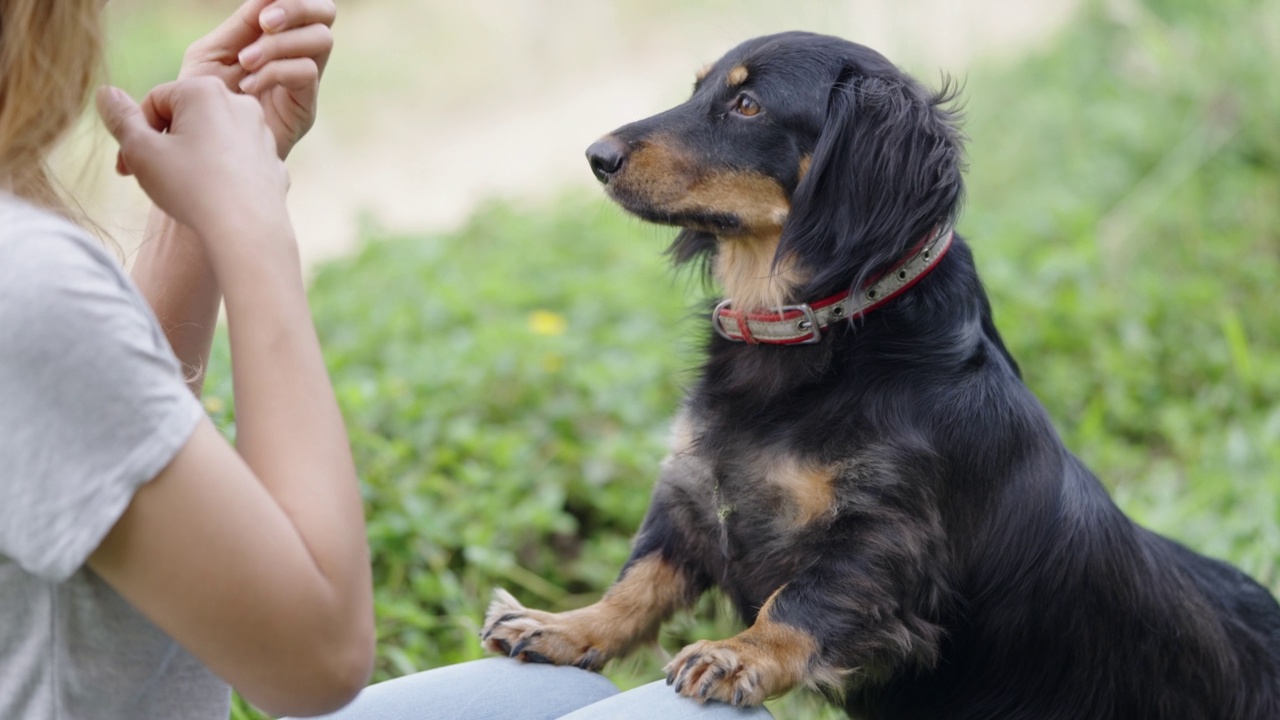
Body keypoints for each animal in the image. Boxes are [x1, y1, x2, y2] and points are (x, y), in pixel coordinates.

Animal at [481, 30, 1280, 712]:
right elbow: (641, 579)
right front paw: (565, 626)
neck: (819, 330)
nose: (596, 156)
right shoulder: (691, 491)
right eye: (699, 87)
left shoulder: (883, 537)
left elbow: (803, 600)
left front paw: (739, 654)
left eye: (747, 105)